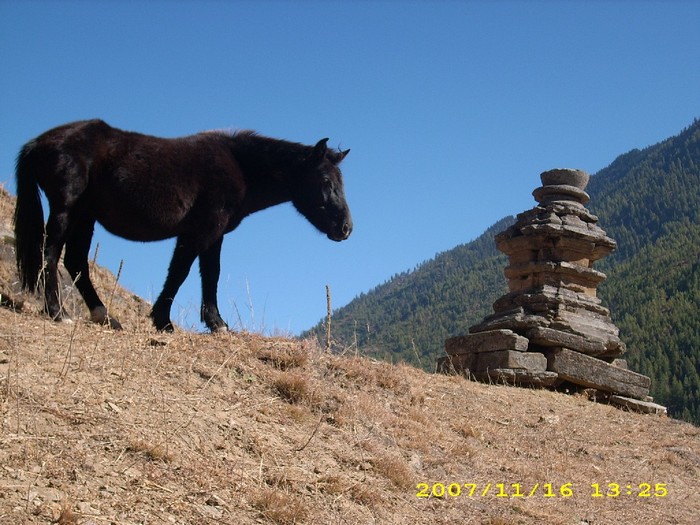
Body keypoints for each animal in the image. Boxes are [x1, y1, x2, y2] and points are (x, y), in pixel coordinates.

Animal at [13, 119, 352, 332]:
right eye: (325, 181)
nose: (346, 228)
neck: (238, 166)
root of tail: (37, 143)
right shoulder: (199, 232)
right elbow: (180, 273)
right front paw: (163, 321)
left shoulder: (214, 236)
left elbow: (210, 275)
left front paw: (217, 324)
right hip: (66, 210)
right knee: (50, 255)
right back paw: (59, 313)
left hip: (85, 216)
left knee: (76, 262)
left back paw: (104, 317)